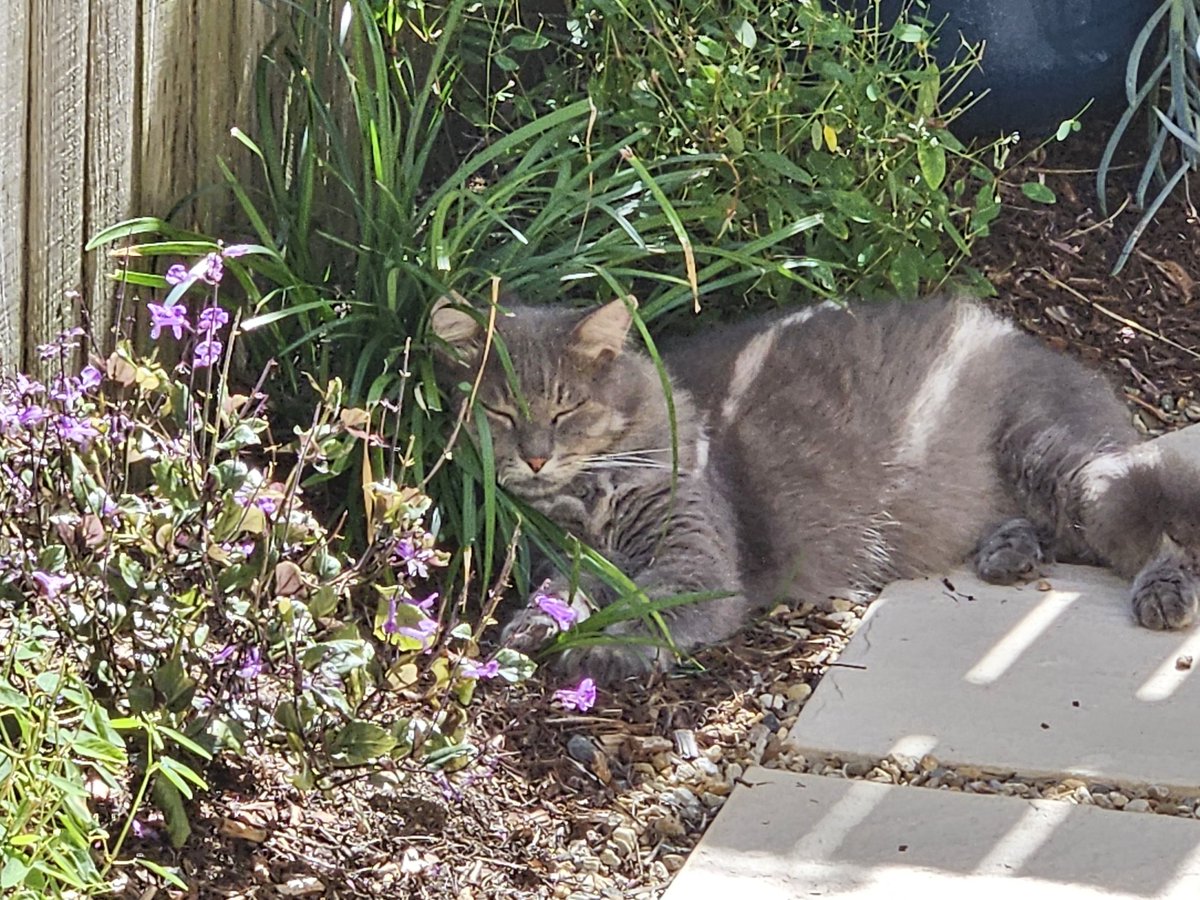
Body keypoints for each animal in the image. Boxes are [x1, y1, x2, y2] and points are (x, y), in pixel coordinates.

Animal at [432, 296, 1200, 681]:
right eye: (501, 414)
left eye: (565, 409)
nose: (535, 458)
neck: (593, 494)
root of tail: (1030, 340)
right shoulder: (573, 555)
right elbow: (560, 592)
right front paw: (528, 629)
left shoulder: (695, 561)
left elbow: (647, 606)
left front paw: (600, 649)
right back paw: (1008, 552)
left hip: (1060, 463)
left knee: (1149, 530)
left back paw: (1162, 592)